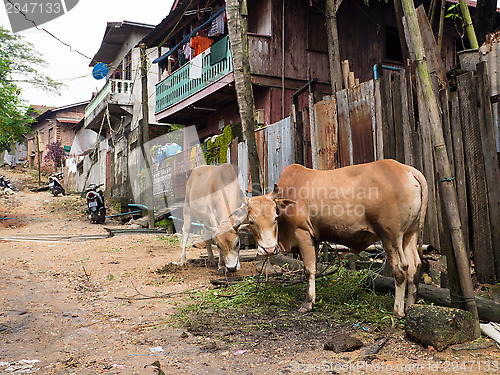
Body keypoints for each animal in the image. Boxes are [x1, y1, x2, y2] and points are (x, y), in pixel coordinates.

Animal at [240, 159, 428, 318]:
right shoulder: (314, 238)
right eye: (251, 221)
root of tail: (408, 170)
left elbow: (309, 269)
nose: (269, 249)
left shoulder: (303, 233)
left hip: (391, 236)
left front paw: (308, 303)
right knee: (415, 266)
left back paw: (398, 310)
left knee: (401, 268)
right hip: (409, 234)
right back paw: (410, 307)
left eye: (275, 218)